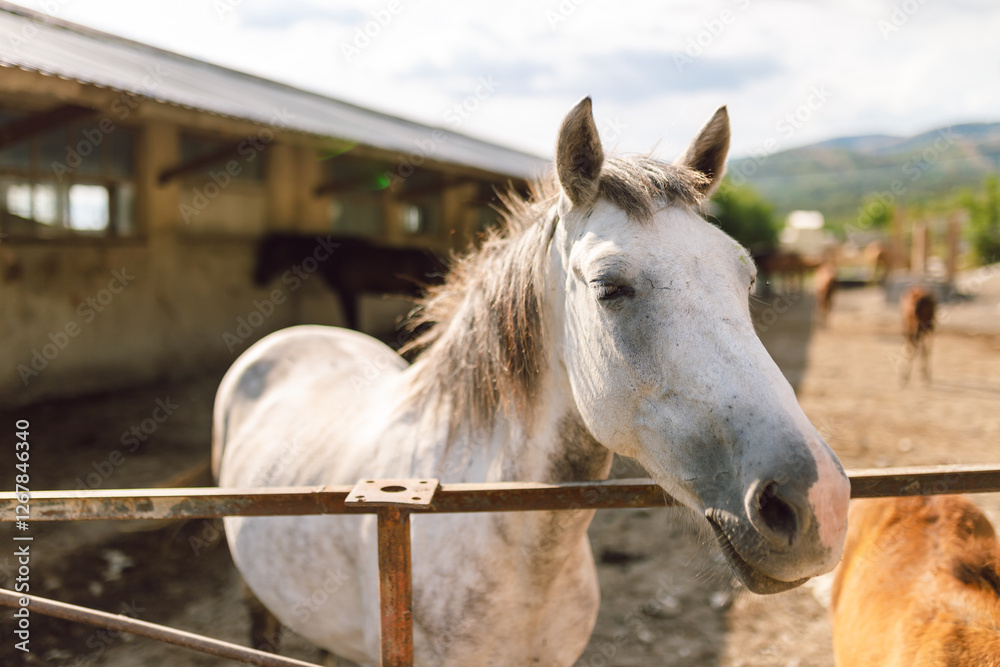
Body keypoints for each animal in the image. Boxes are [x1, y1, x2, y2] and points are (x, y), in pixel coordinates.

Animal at [252, 233, 448, 331]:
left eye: (273, 253)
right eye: (260, 252)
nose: (258, 278)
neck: (336, 257)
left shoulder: (348, 292)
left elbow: (352, 321)